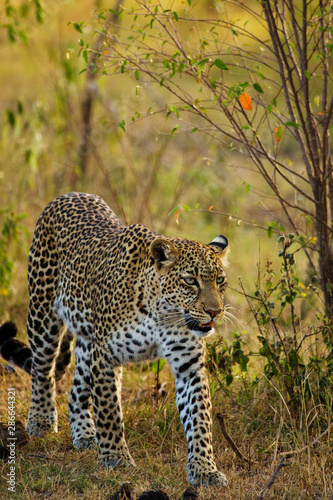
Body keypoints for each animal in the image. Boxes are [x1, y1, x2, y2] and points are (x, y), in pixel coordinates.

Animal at [0, 192, 228, 488]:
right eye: (190, 281)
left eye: (220, 280)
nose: (215, 311)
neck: (162, 314)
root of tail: (69, 194)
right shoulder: (105, 356)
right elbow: (109, 410)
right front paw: (115, 458)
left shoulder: (189, 365)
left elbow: (199, 419)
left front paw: (204, 469)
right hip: (42, 315)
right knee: (43, 370)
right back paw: (41, 421)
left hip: (86, 341)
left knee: (76, 391)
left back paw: (86, 434)